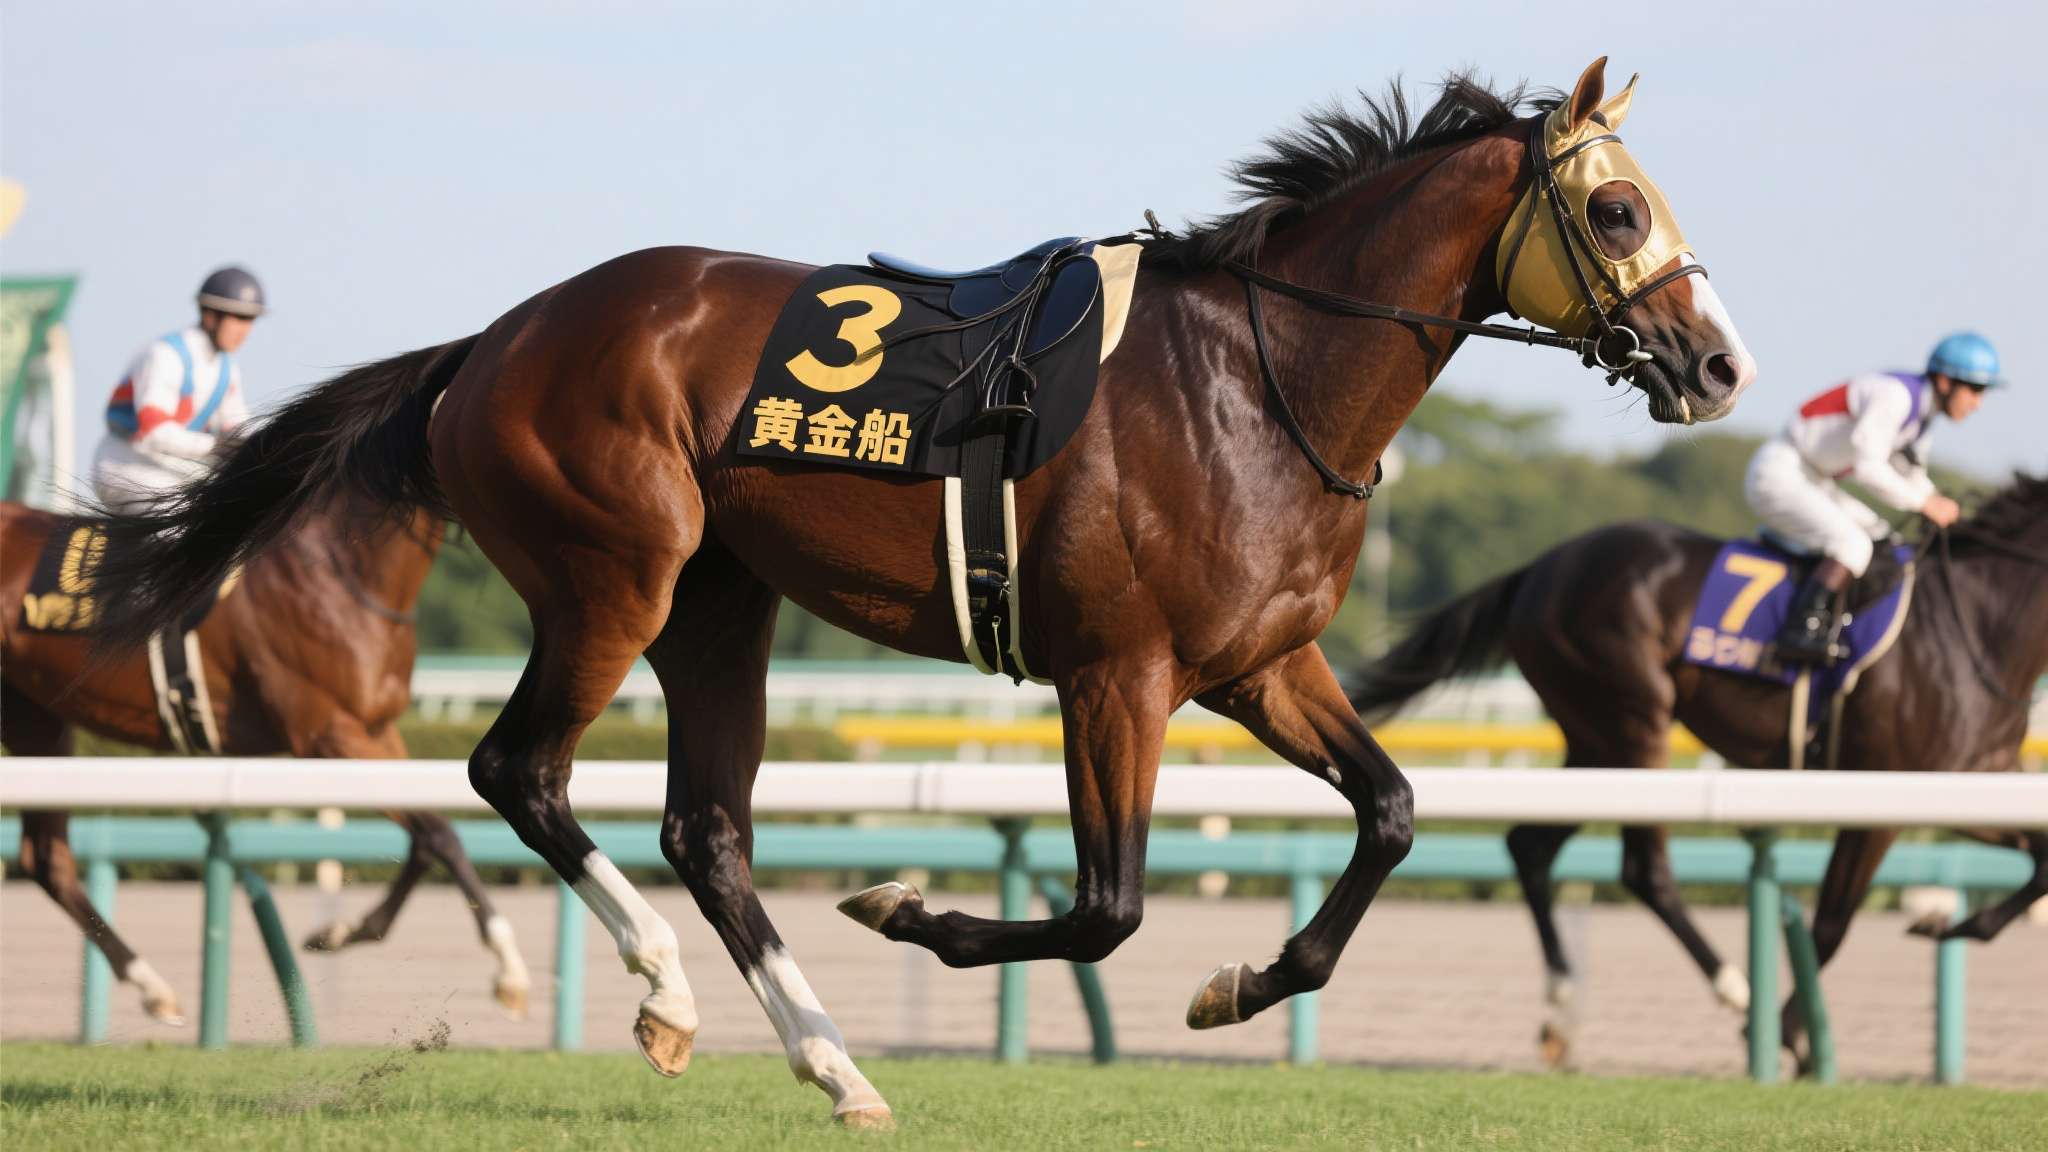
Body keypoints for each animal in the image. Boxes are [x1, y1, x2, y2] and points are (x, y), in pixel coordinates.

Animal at [0, 498, 533, 1025]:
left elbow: (427, 838)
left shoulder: (375, 731)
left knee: (45, 859)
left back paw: (153, 987)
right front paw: (509, 968)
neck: (341, 570)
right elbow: (440, 833)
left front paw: (340, 932)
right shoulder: (327, 734)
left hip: (37, 719)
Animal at [81, 60, 1752, 1124]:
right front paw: (913, 910)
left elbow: (1393, 815)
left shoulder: (1260, 666)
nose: (1720, 364)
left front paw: (1240, 987)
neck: (1261, 377)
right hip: (616, 574)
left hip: (723, 603)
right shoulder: (1118, 674)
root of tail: (489, 342)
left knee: (705, 827)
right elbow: (1104, 909)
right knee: (517, 773)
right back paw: (671, 1000)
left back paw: (837, 1070)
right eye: (1617, 213)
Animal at [1346, 475, 2048, 1072]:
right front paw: (1787, 1037)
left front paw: (1953, 924)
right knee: (1643, 869)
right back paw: (1734, 987)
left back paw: (1561, 1010)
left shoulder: (1965, 785)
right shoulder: (1876, 796)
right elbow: (1831, 924)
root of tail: (1538, 571)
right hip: (1633, 724)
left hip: (1594, 741)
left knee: (1530, 846)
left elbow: (2040, 861)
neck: (1975, 627)